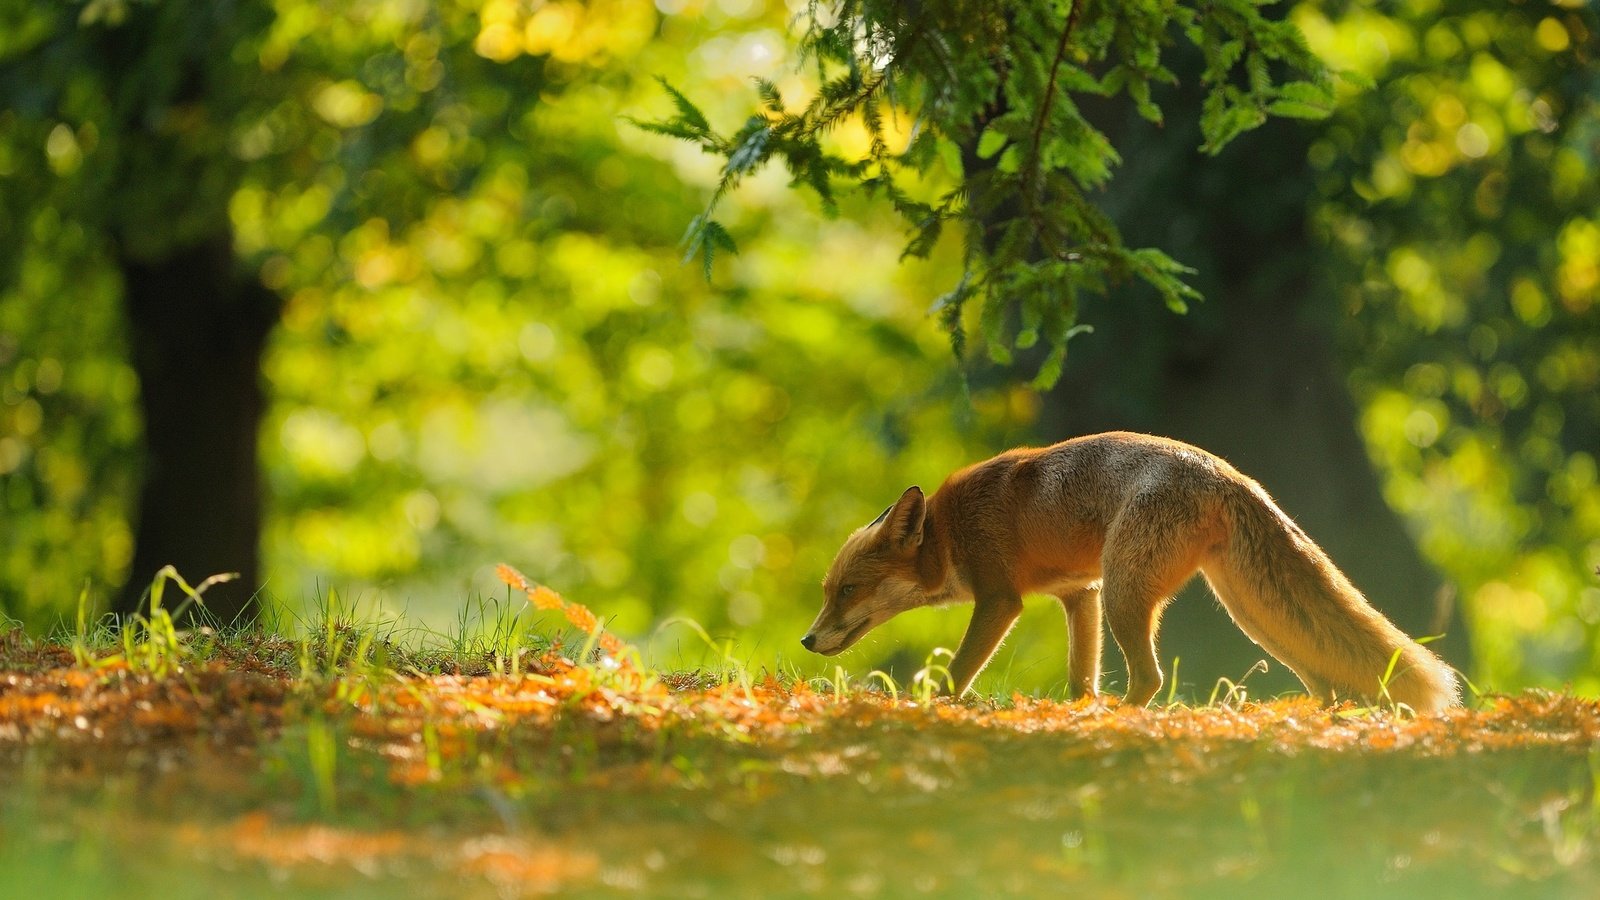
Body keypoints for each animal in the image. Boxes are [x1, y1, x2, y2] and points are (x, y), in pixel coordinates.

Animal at [800, 432, 1465, 711]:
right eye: (828, 591)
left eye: (849, 590)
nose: (807, 640)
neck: (949, 533)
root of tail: (1229, 473)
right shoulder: (1079, 595)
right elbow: (1080, 677)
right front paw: (1074, 713)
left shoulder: (1001, 600)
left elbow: (958, 671)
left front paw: (935, 707)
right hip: (1246, 613)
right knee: (1322, 674)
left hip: (1132, 595)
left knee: (1150, 678)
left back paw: (1125, 717)